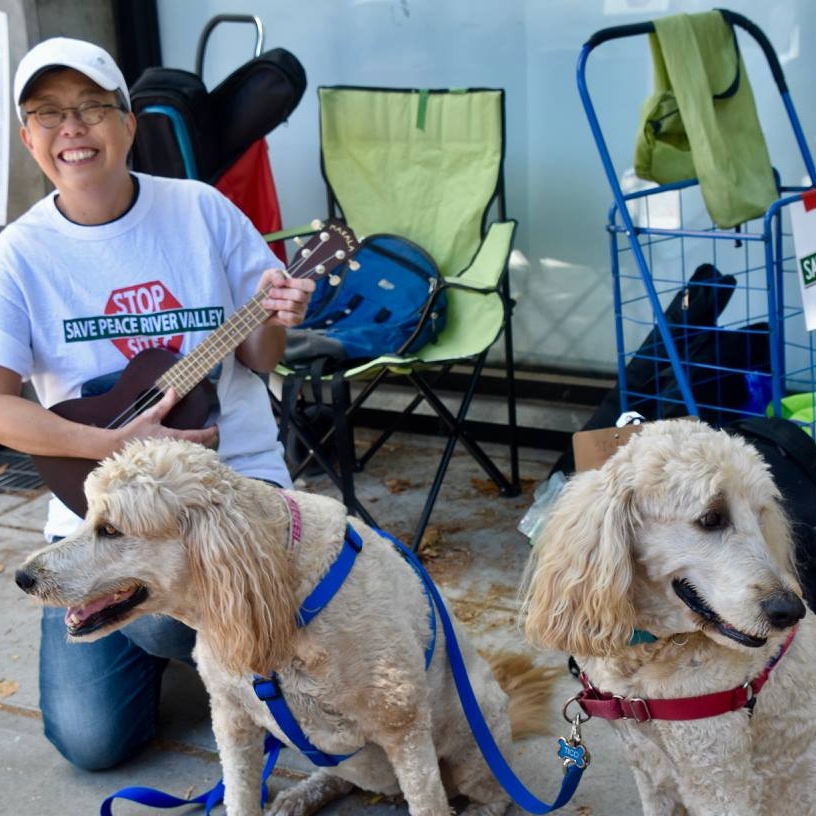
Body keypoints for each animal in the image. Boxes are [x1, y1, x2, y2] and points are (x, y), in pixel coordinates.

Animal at [15, 440, 548, 816]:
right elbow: (238, 797)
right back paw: (304, 793)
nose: (23, 577)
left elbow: (429, 805)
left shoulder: (405, 728)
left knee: (494, 795)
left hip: (474, 742)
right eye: (86, 515)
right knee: (345, 775)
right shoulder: (232, 719)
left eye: (110, 530)